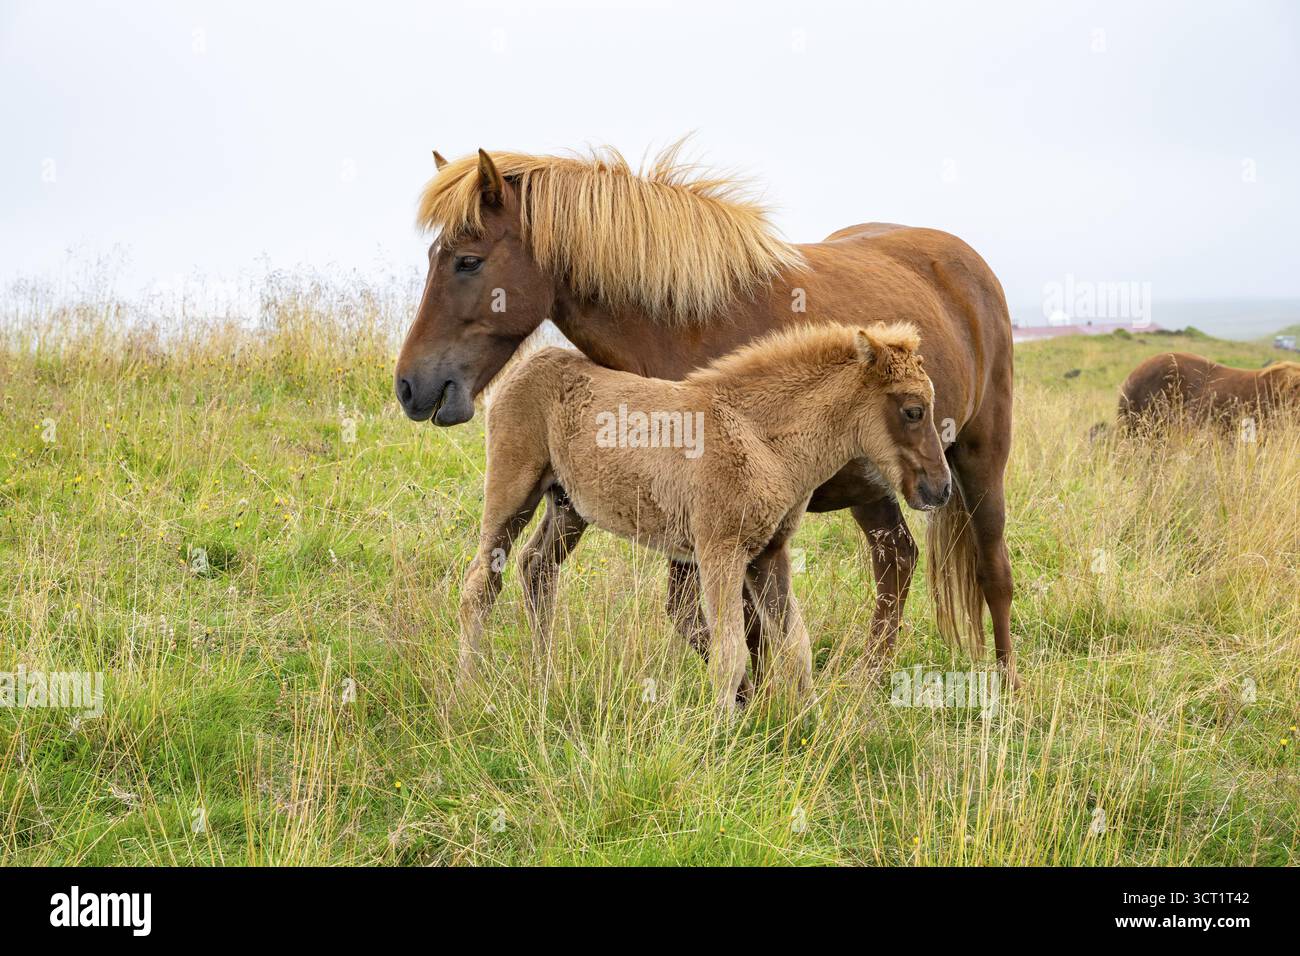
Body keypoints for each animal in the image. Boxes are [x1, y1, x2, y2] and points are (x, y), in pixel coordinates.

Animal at [456, 322, 950, 713]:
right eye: (913, 410)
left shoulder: (769, 554)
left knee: (537, 567)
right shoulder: (720, 552)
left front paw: (814, 729)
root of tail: (529, 364)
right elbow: (730, 653)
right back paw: (470, 687)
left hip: (568, 506)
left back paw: (543, 677)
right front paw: (722, 738)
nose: (941, 488)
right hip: (512, 490)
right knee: (481, 583)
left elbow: (797, 647)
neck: (758, 436)